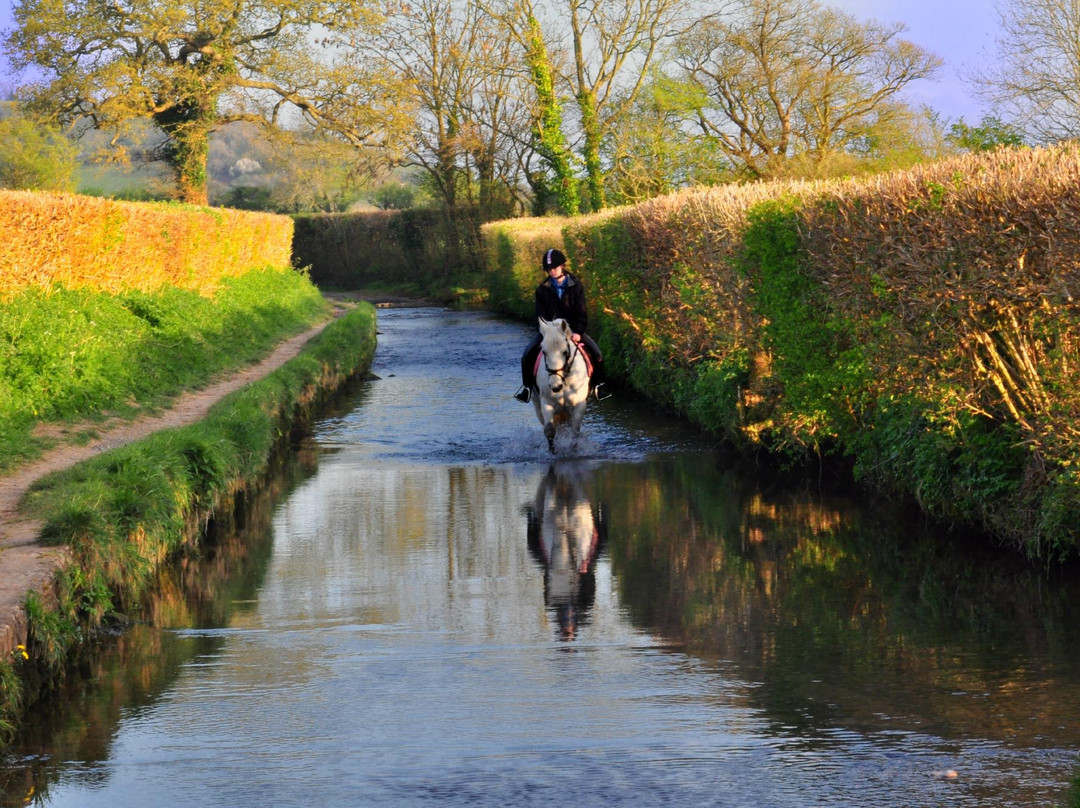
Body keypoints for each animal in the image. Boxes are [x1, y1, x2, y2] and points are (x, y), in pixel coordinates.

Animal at [533, 317, 591, 453]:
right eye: (544, 352)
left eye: (565, 352)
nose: (556, 386)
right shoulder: (547, 404)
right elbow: (549, 430)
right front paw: (552, 452)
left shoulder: (579, 405)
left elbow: (574, 432)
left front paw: (573, 449)